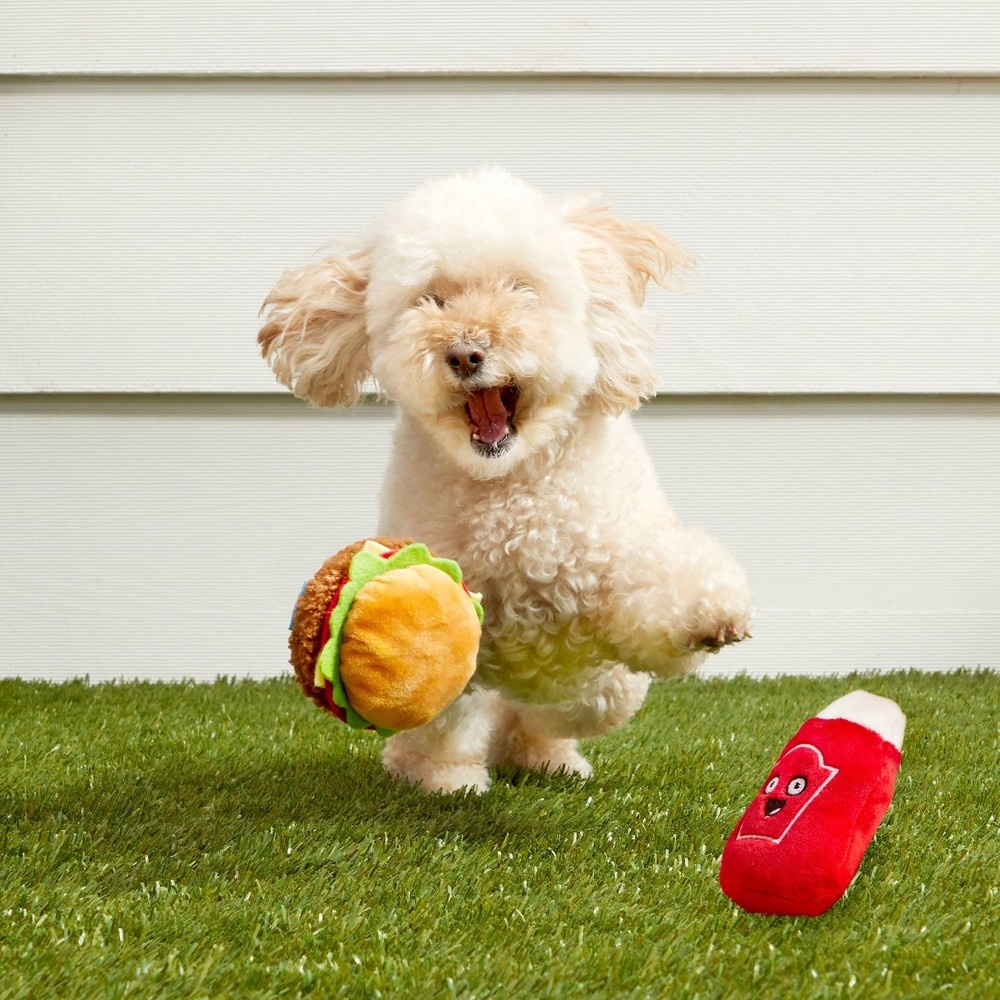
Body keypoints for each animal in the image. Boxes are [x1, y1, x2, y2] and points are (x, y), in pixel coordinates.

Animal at [262, 170, 752, 796]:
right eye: (431, 299)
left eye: (522, 290)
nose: (466, 352)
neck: (510, 492)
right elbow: (443, 703)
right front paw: (445, 774)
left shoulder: (616, 557)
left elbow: (650, 606)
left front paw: (709, 615)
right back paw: (440, 772)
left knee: (571, 707)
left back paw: (546, 754)